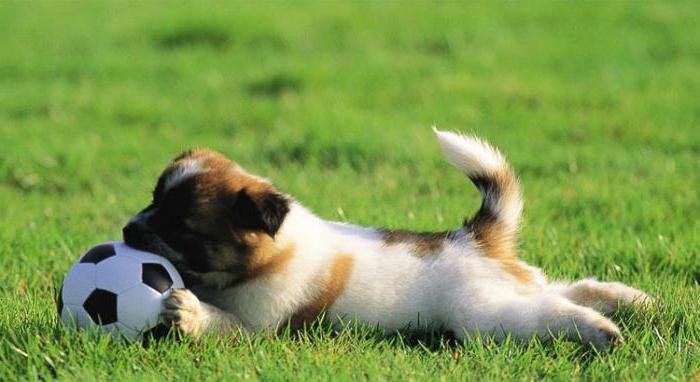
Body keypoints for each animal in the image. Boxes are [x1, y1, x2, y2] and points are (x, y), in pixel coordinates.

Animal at [121, 130, 652, 350]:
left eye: (182, 228)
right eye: (152, 199)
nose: (126, 230)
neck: (269, 253)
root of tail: (475, 238)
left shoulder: (257, 327)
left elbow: (219, 322)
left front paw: (187, 311)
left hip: (483, 313)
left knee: (551, 311)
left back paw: (601, 330)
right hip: (511, 285)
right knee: (567, 288)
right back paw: (632, 300)